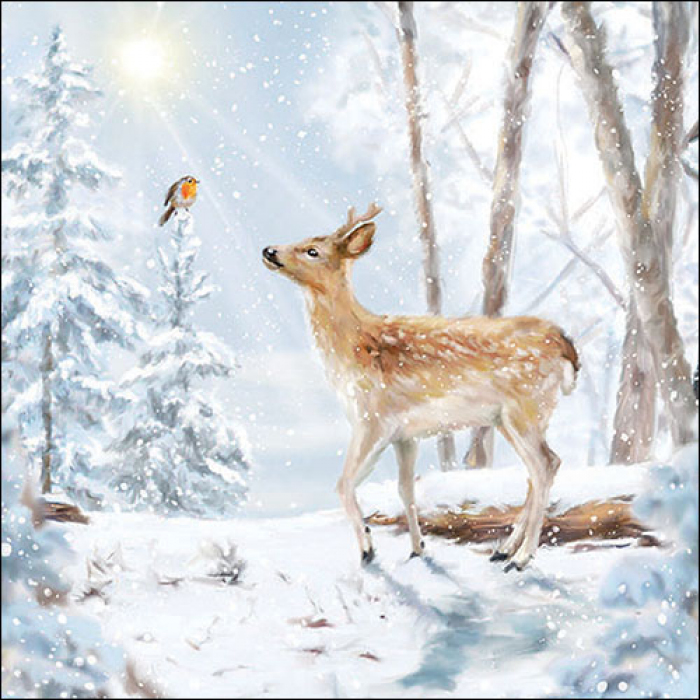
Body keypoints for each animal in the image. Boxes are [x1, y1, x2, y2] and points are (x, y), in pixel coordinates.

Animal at [262, 203, 579, 571]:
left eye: (313, 250)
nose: (269, 250)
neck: (352, 350)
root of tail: (566, 346)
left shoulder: (372, 419)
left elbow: (343, 483)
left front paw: (368, 549)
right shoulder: (405, 434)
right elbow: (405, 489)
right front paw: (418, 548)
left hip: (526, 408)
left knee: (545, 466)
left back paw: (521, 557)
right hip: (509, 419)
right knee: (541, 469)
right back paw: (503, 549)